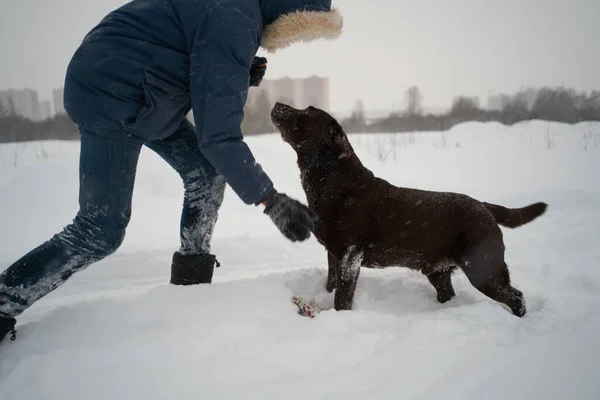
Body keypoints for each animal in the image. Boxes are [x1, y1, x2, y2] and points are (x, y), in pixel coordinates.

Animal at [272, 101, 548, 318]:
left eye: (304, 115)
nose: (276, 104)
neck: (332, 182)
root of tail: (484, 206)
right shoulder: (333, 253)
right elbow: (330, 284)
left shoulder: (350, 257)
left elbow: (342, 297)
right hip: (440, 272)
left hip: (483, 269)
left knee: (516, 296)